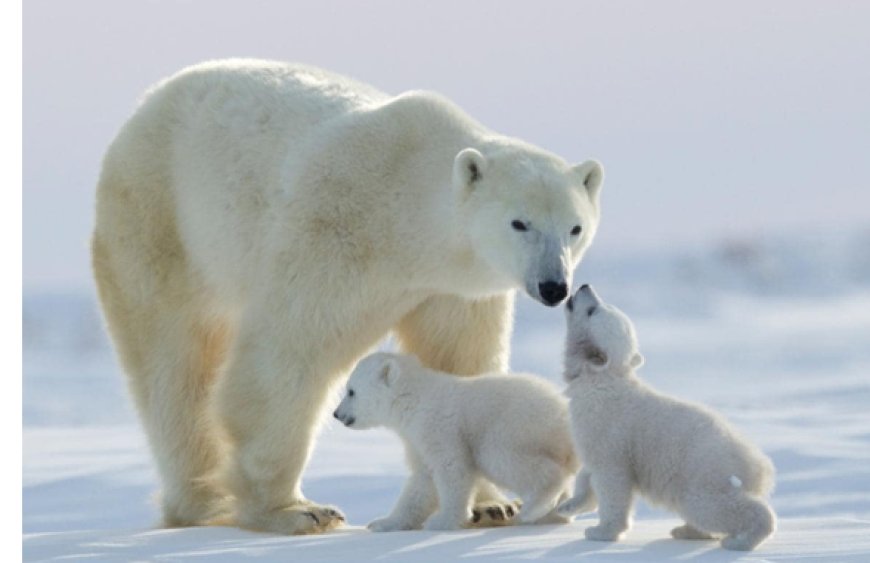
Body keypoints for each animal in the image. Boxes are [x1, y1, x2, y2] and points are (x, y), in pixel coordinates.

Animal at [334, 350, 580, 532]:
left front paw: (442, 521)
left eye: (351, 391)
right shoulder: (417, 439)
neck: (414, 399)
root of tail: (563, 417)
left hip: (517, 427)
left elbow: (452, 468)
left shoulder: (439, 427)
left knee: (504, 458)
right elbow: (422, 482)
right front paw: (383, 523)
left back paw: (532, 508)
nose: (336, 414)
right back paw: (552, 515)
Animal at [560, 286, 776, 552]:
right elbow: (588, 470)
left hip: (703, 474)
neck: (601, 380)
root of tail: (760, 467)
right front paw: (569, 505)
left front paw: (601, 531)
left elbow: (612, 480)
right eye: (598, 305)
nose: (584, 287)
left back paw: (740, 540)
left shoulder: (609, 430)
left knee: (713, 506)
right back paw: (686, 530)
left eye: (592, 310)